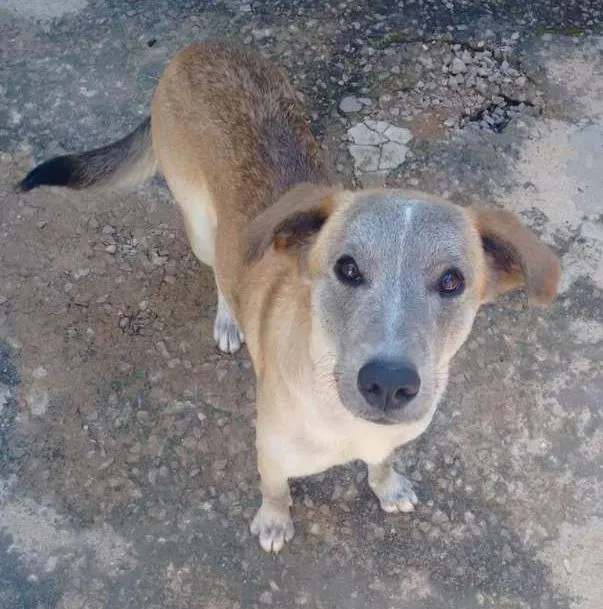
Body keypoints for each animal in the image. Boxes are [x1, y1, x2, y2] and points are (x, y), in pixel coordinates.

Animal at [20, 39, 560, 552]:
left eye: (452, 281)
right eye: (346, 268)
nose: (388, 384)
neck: (339, 411)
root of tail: (196, 47)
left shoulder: (390, 438)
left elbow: (382, 462)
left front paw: (388, 487)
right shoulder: (270, 449)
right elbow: (274, 489)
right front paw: (274, 522)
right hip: (200, 228)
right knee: (221, 274)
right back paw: (229, 320)